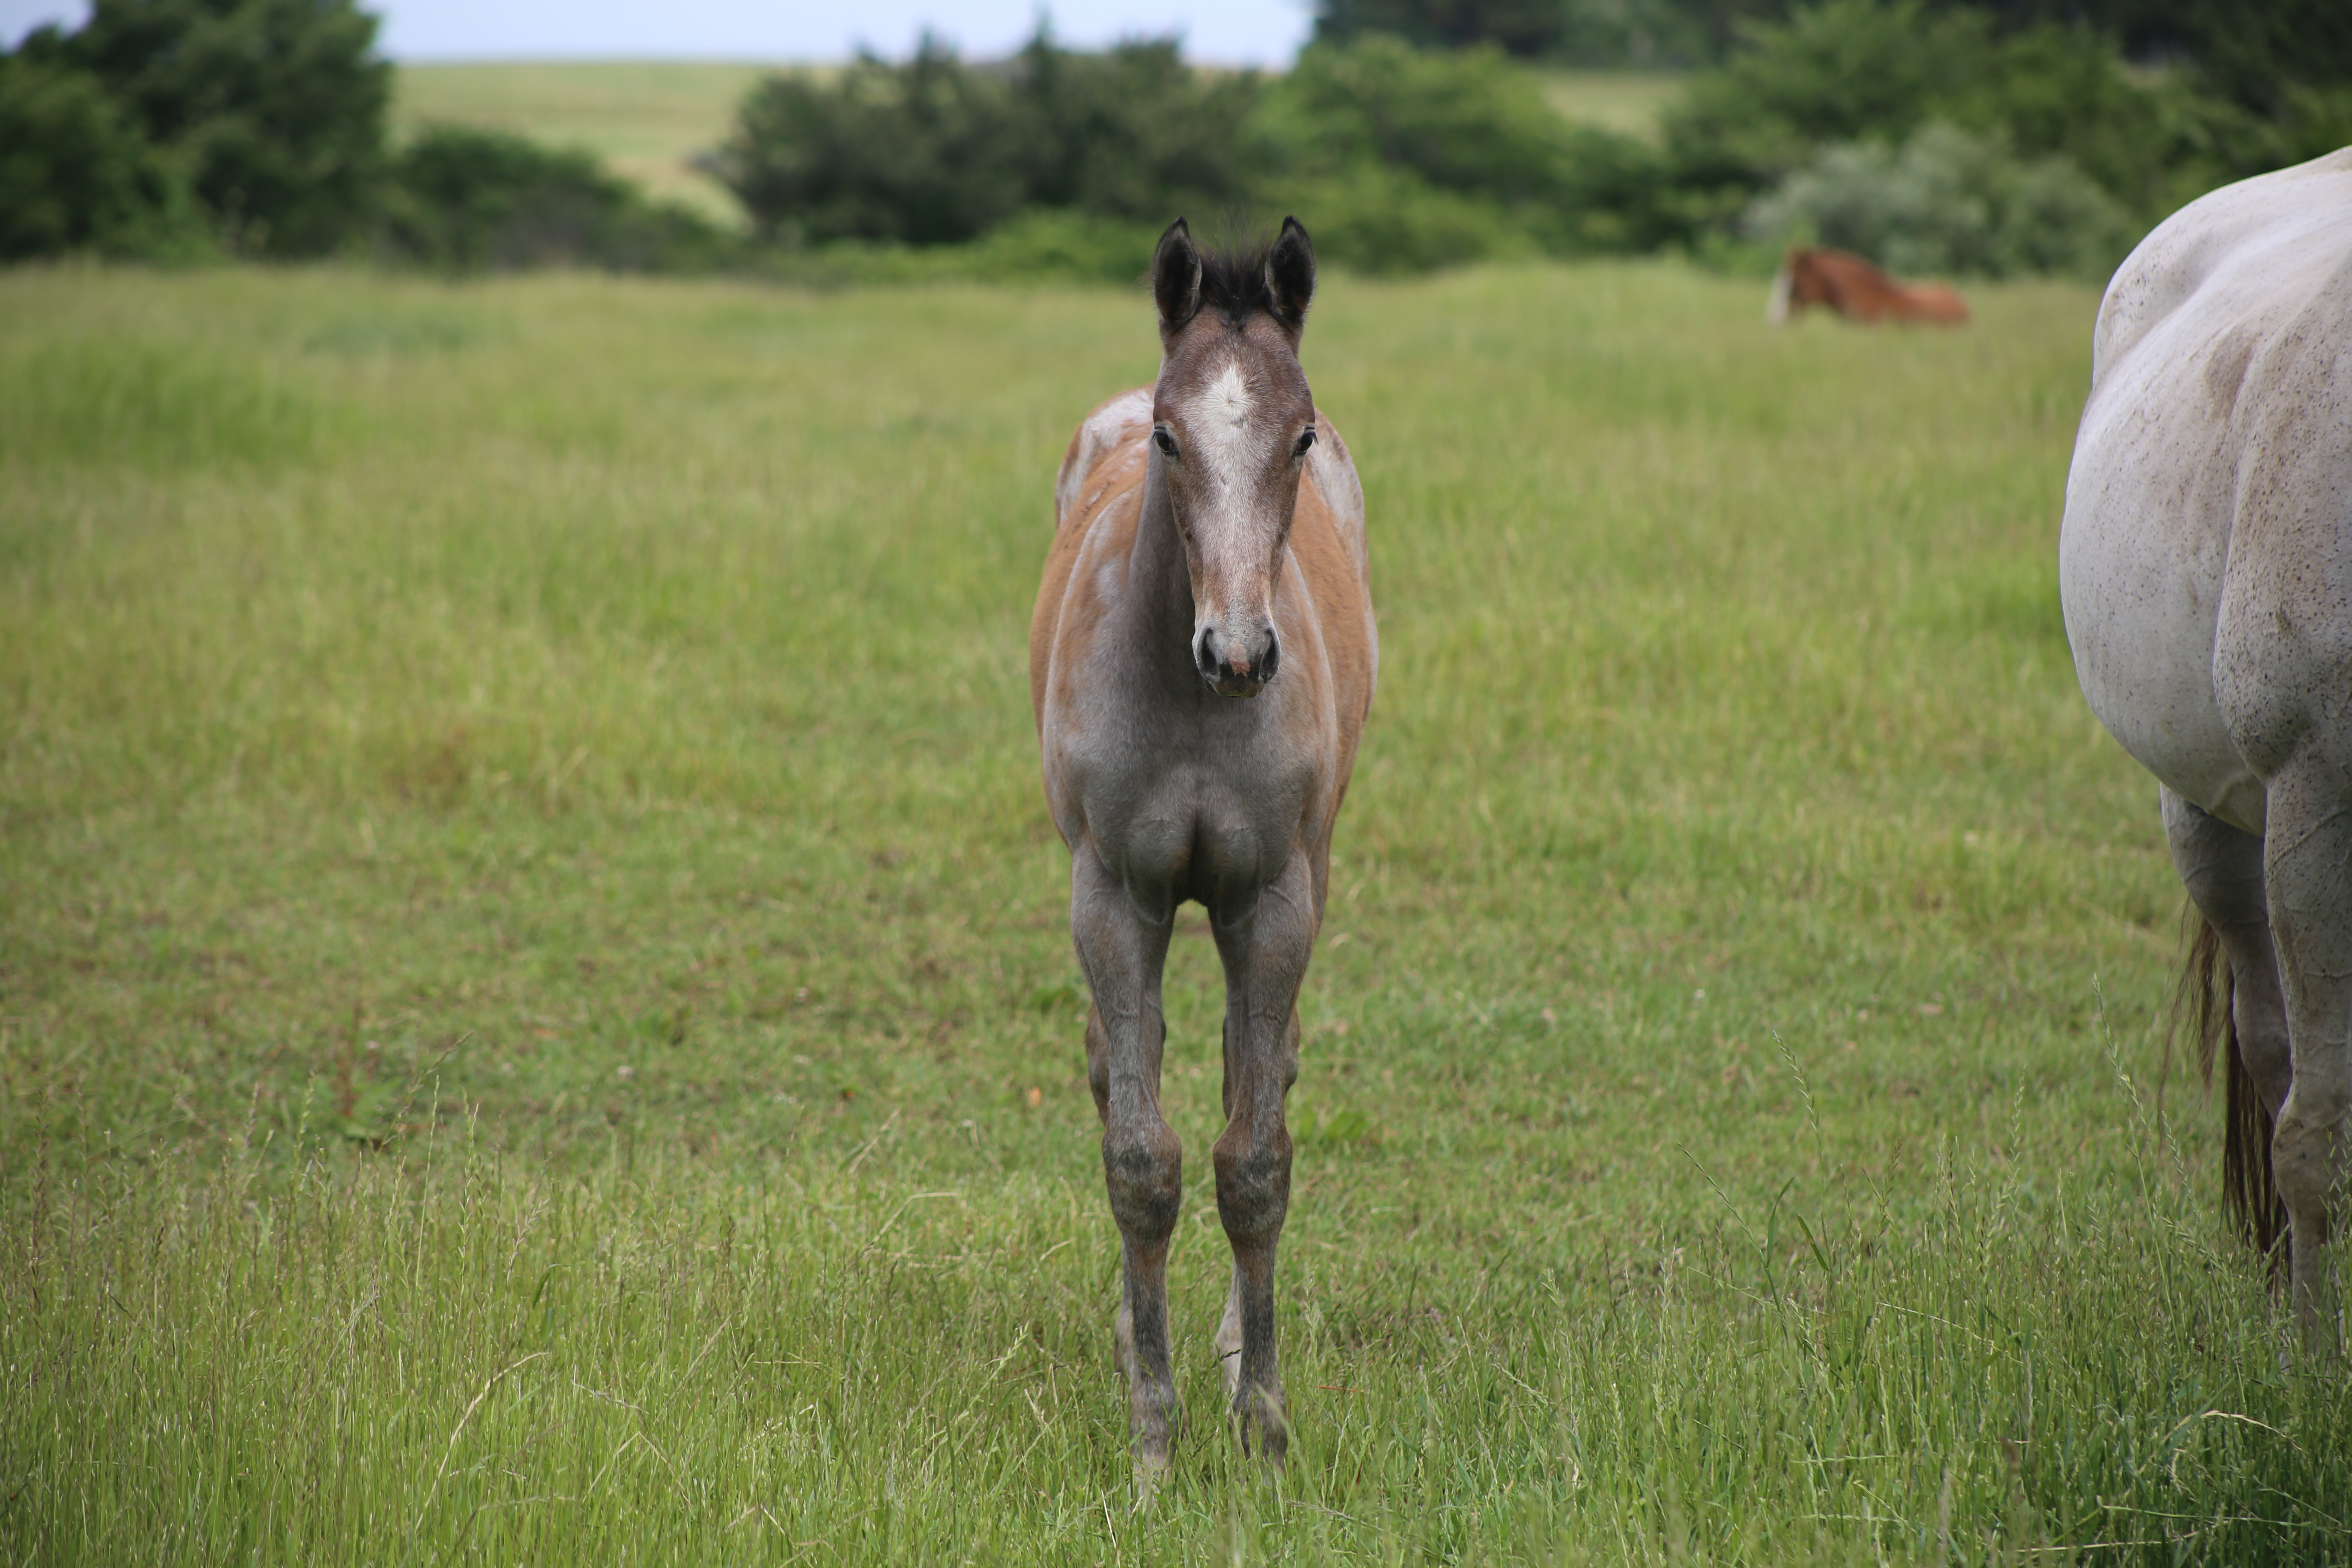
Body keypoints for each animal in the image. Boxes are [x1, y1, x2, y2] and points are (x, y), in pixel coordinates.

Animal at [1030, 217, 1373, 1486]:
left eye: (1299, 435)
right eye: (1171, 440)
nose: (1239, 653)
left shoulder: (1268, 900)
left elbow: (1253, 1156)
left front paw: (1261, 1426)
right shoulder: (1116, 899)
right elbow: (1140, 1160)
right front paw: (1152, 1446)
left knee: (1248, 1073)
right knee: (1115, 1073)